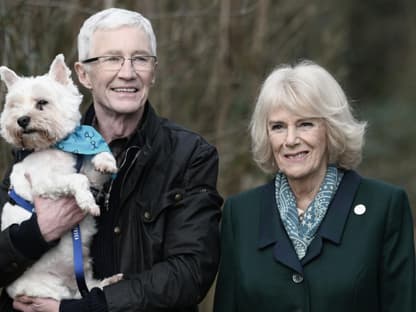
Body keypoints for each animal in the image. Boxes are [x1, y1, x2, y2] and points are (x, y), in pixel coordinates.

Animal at [0, 53, 120, 300]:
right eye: (14, 106)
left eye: (41, 103)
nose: (21, 120)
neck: (56, 145)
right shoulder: (45, 183)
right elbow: (77, 180)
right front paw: (87, 202)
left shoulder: (87, 171)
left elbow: (95, 162)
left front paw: (106, 161)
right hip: (50, 290)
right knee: (73, 298)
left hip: (84, 278)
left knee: (91, 288)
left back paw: (111, 280)